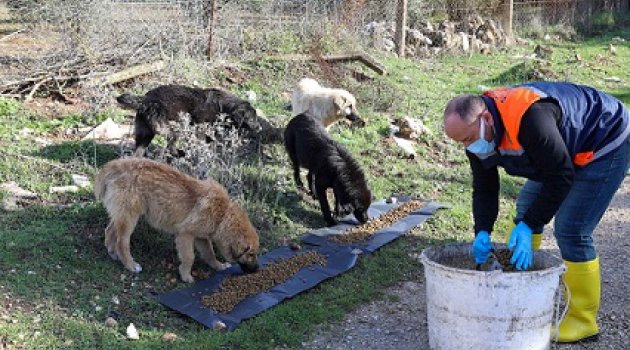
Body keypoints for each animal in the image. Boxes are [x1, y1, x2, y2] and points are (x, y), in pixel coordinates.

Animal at [93, 159, 260, 282]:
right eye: (251, 254)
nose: (257, 270)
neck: (223, 215)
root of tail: (116, 165)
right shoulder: (185, 234)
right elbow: (189, 257)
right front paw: (186, 276)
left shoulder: (201, 237)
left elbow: (209, 254)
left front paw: (218, 266)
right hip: (129, 218)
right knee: (122, 242)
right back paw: (130, 265)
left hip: (122, 215)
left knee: (109, 231)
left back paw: (113, 254)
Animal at [117, 85, 262, 156]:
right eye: (252, 118)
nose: (260, 128)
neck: (224, 108)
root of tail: (146, 100)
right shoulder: (200, 130)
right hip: (176, 128)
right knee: (170, 147)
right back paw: (180, 153)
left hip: (145, 134)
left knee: (138, 153)